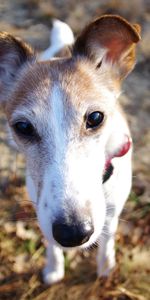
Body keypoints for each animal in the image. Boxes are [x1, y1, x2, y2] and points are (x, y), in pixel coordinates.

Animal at [0, 15, 141, 284]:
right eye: (23, 127)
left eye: (95, 117)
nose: (73, 233)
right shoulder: (41, 205)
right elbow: (51, 244)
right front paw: (54, 269)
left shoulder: (112, 210)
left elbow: (107, 239)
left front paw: (105, 267)